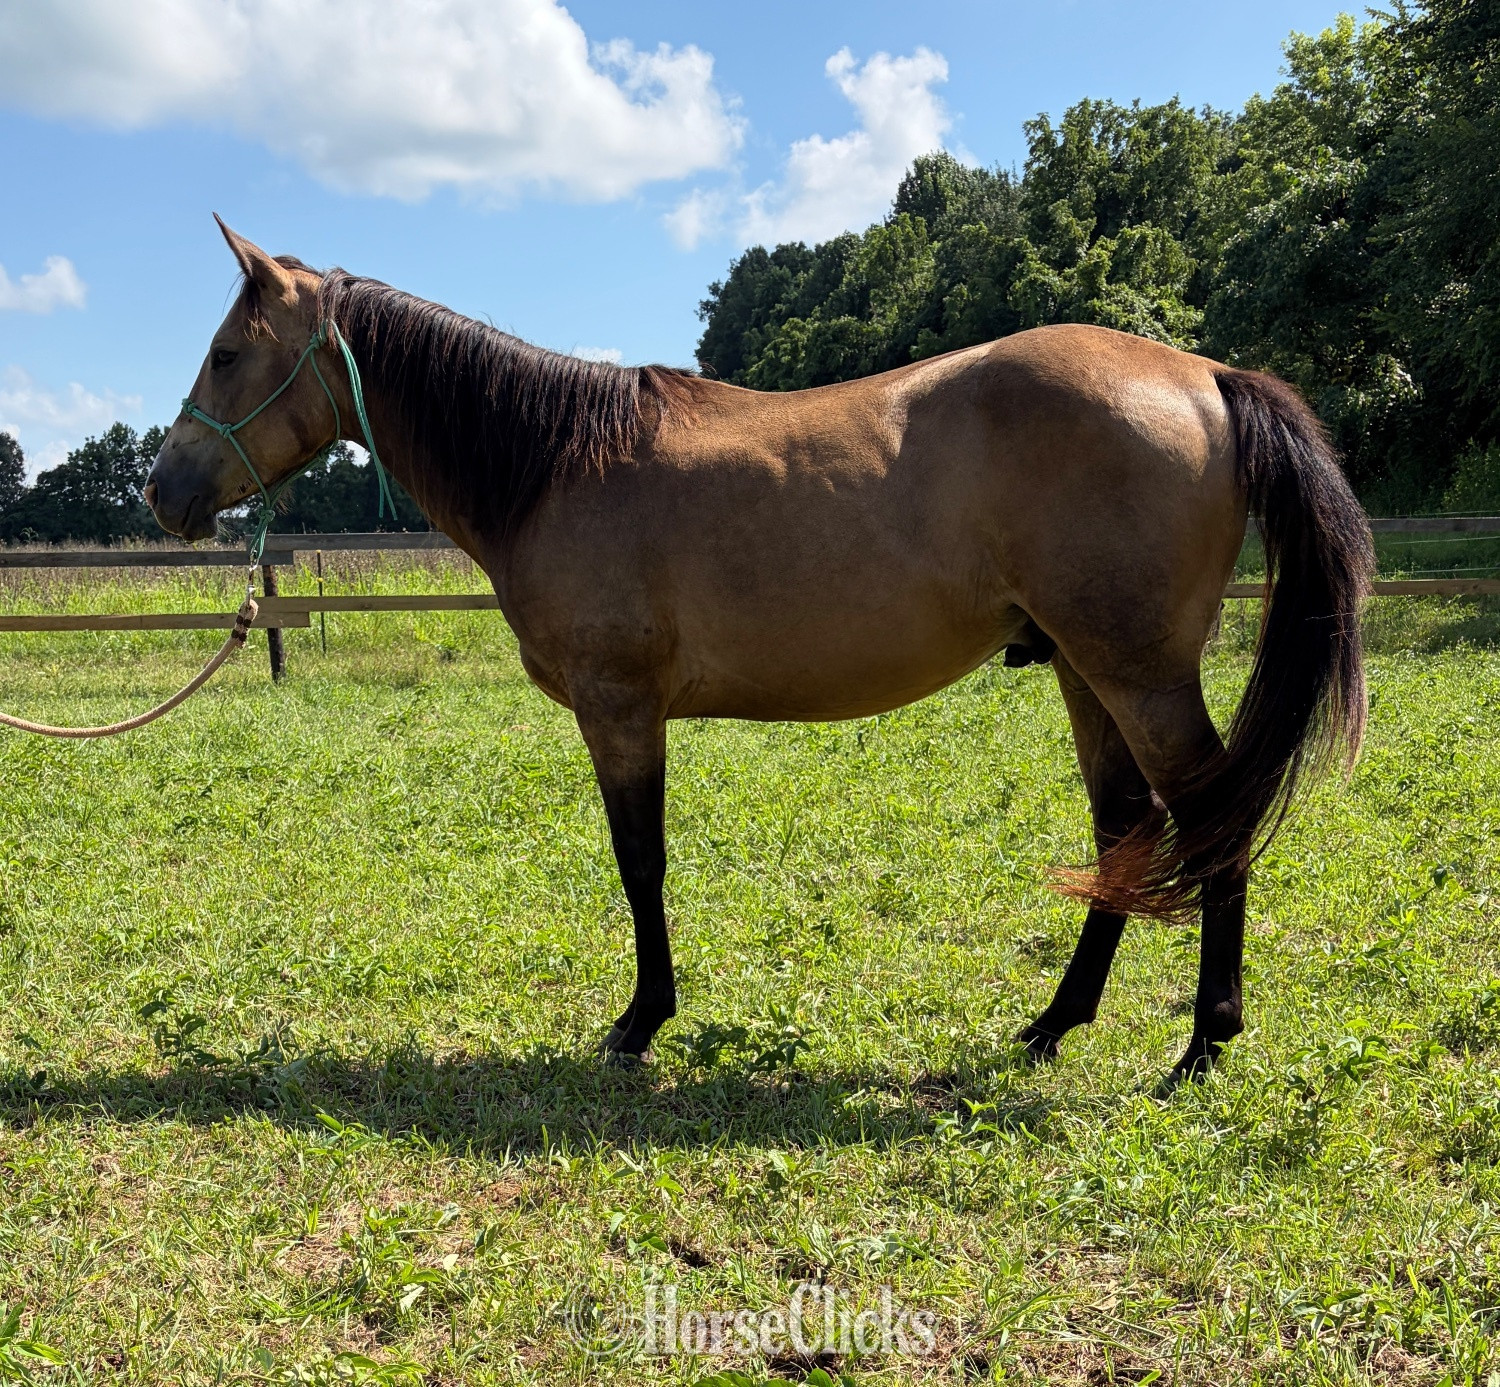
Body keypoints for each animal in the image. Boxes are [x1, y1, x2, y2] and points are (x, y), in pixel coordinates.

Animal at [146, 220, 1374, 1083]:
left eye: (225, 353)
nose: (162, 494)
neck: (556, 461)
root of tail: (1207, 376)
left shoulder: (620, 708)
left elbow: (640, 862)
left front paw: (640, 1022)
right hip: (1086, 669)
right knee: (1126, 832)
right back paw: (1051, 1025)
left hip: (1137, 672)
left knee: (1211, 823)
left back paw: (1203, 1043)